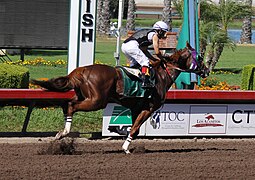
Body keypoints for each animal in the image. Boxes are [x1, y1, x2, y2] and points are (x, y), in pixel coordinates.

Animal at [30, 43, 208, 153]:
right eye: (199, 57)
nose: (206, 70)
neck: (162, 75)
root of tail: (81, 70)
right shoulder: (149, 108)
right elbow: (135, 129)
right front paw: (125, 148)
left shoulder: (136, 107)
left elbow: (134, 129)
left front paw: (126, 143)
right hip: (97, 101)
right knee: (71, 106)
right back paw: (64, 132)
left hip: (85, 96)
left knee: (67, 104)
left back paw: (61, 132)